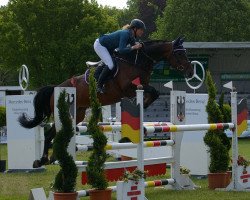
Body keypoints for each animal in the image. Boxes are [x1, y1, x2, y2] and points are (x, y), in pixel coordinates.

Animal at [18, 36, 193, 167]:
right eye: (180, 54)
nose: (190, 72)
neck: (137, 61)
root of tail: (57, 87)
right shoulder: (128, 88)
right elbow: (152, 92)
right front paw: (142, 105)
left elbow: (154, 94)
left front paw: (142, 110)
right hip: (64, 113)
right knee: (51, 134)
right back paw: (45, 159)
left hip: (78, 114)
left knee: (54, 133)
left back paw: (48, 159)